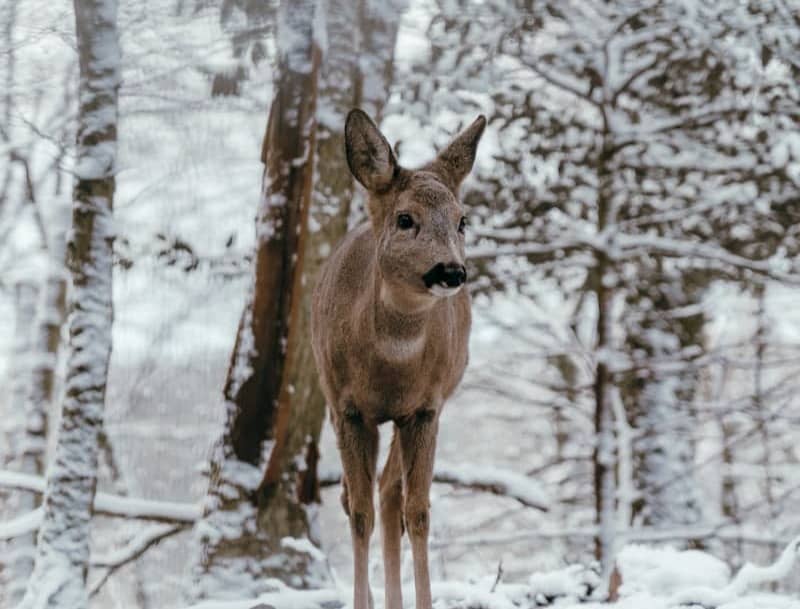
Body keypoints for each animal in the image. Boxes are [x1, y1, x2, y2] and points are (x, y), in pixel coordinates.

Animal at [310, 109, 488, 608]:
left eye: (462, 221)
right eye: (406, 218)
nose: (452, 271)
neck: (391, 365)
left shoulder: (427, 407)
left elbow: (418, 511)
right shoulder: (348, 408)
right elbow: (359, 513)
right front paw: (360, 602)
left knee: (391, 493)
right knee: (359, 497)